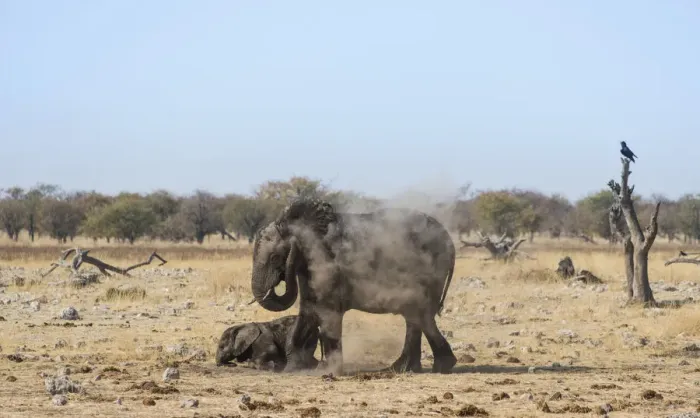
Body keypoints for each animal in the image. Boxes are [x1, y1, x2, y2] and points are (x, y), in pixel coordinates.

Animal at [249, 197, 457, 375]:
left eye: (275, 257)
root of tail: (449, 239)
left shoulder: (327, 262)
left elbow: (328, 312)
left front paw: (329, 371)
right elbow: (308, 312)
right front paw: (292, 370)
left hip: (431, 271)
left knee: (420, 315)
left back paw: (433, 367)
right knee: (416, 316)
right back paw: (406, 368)